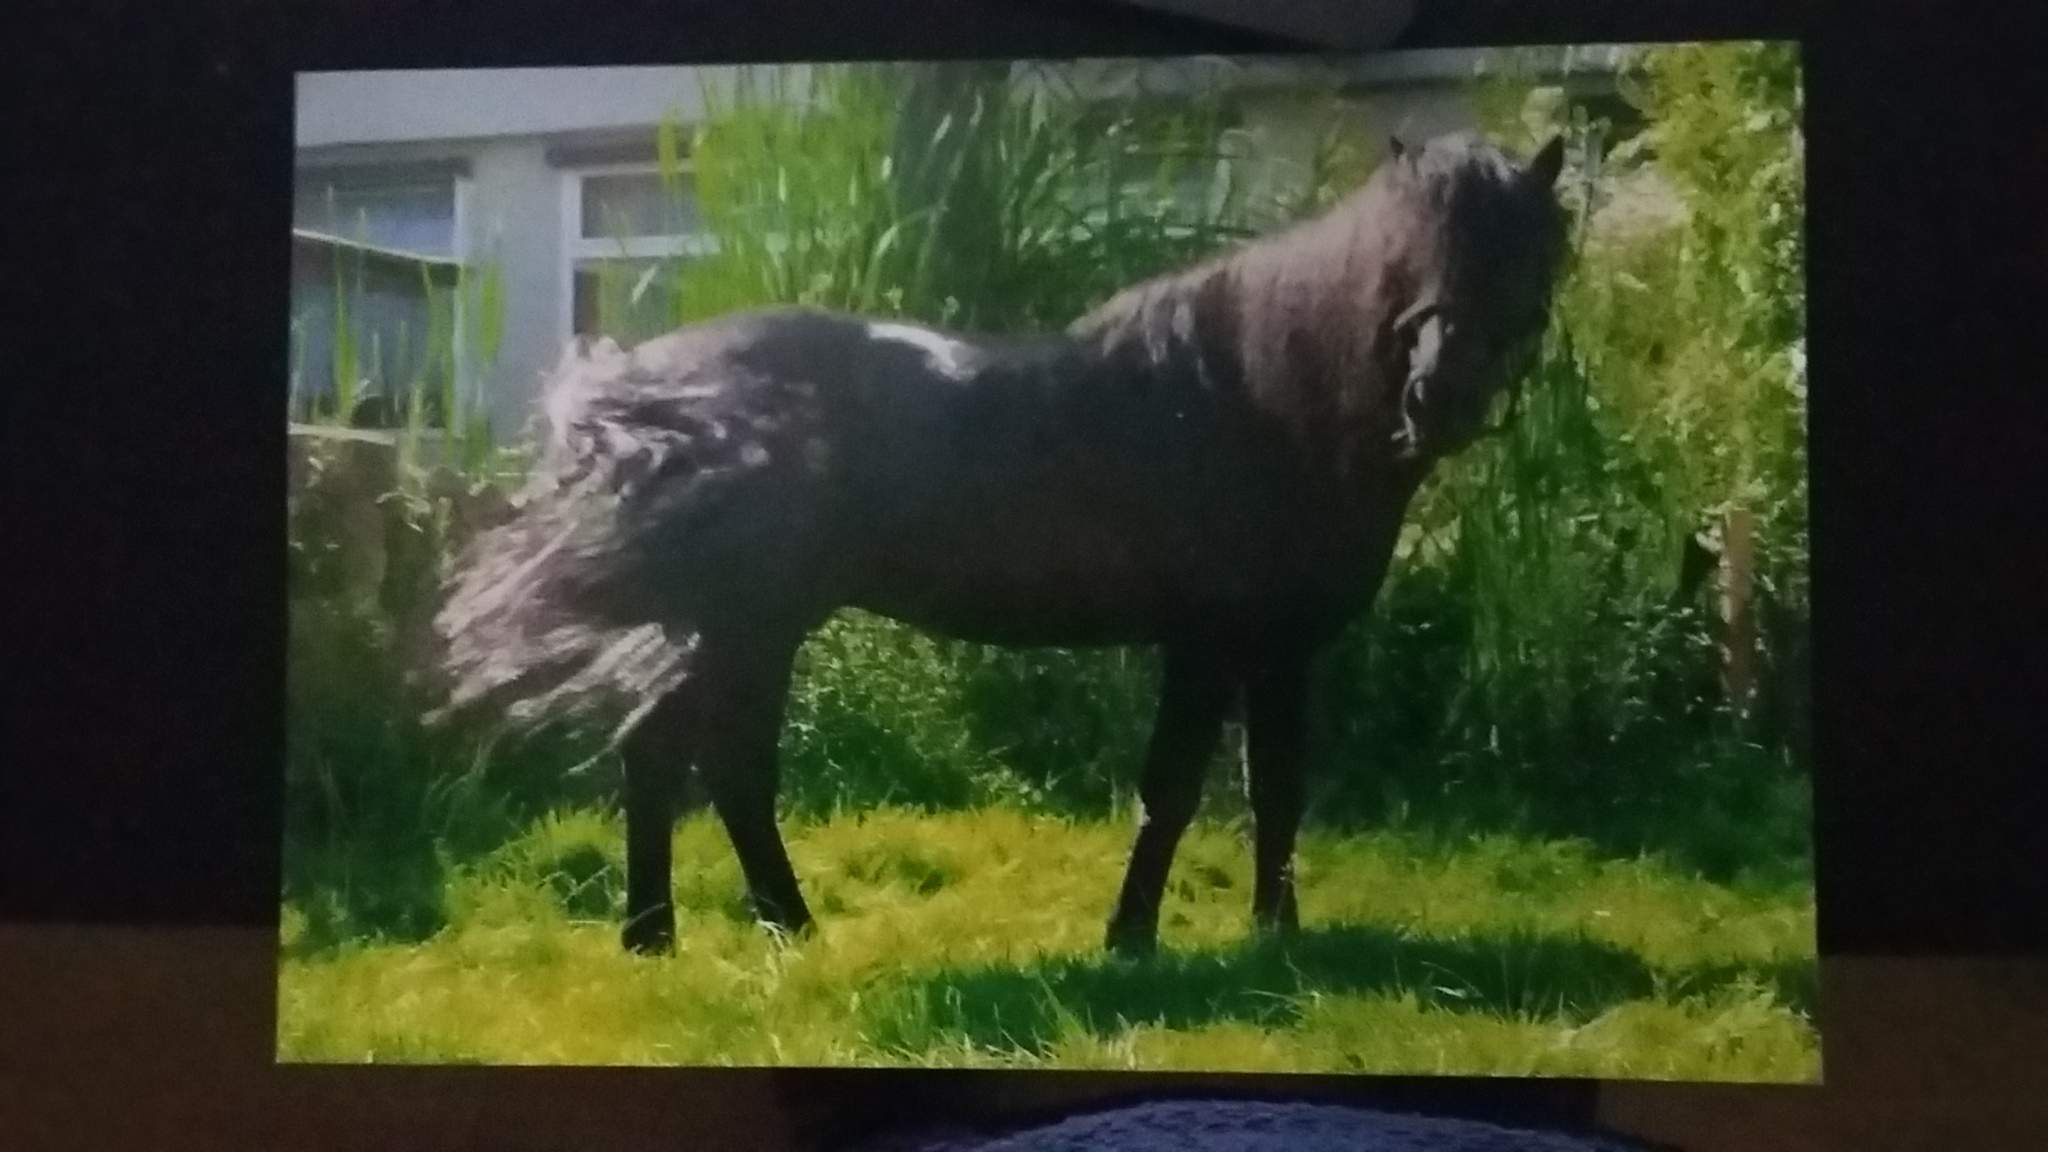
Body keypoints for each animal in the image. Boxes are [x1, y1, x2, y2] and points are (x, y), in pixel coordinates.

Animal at [433, 132, 1569, 956]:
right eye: (1402, 251)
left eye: (1523, 252)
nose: (1441, 397)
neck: (1257, 403)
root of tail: (650, 383)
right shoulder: (1204, 644)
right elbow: (1171, 792)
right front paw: (1131, 939)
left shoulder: (1278, 651)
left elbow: (1276, 791)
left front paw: (1275, 936)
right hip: (750, 626)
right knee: (726, 767)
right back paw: (784, 930)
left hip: (719, 626)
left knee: (668, 760)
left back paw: (661, 939)